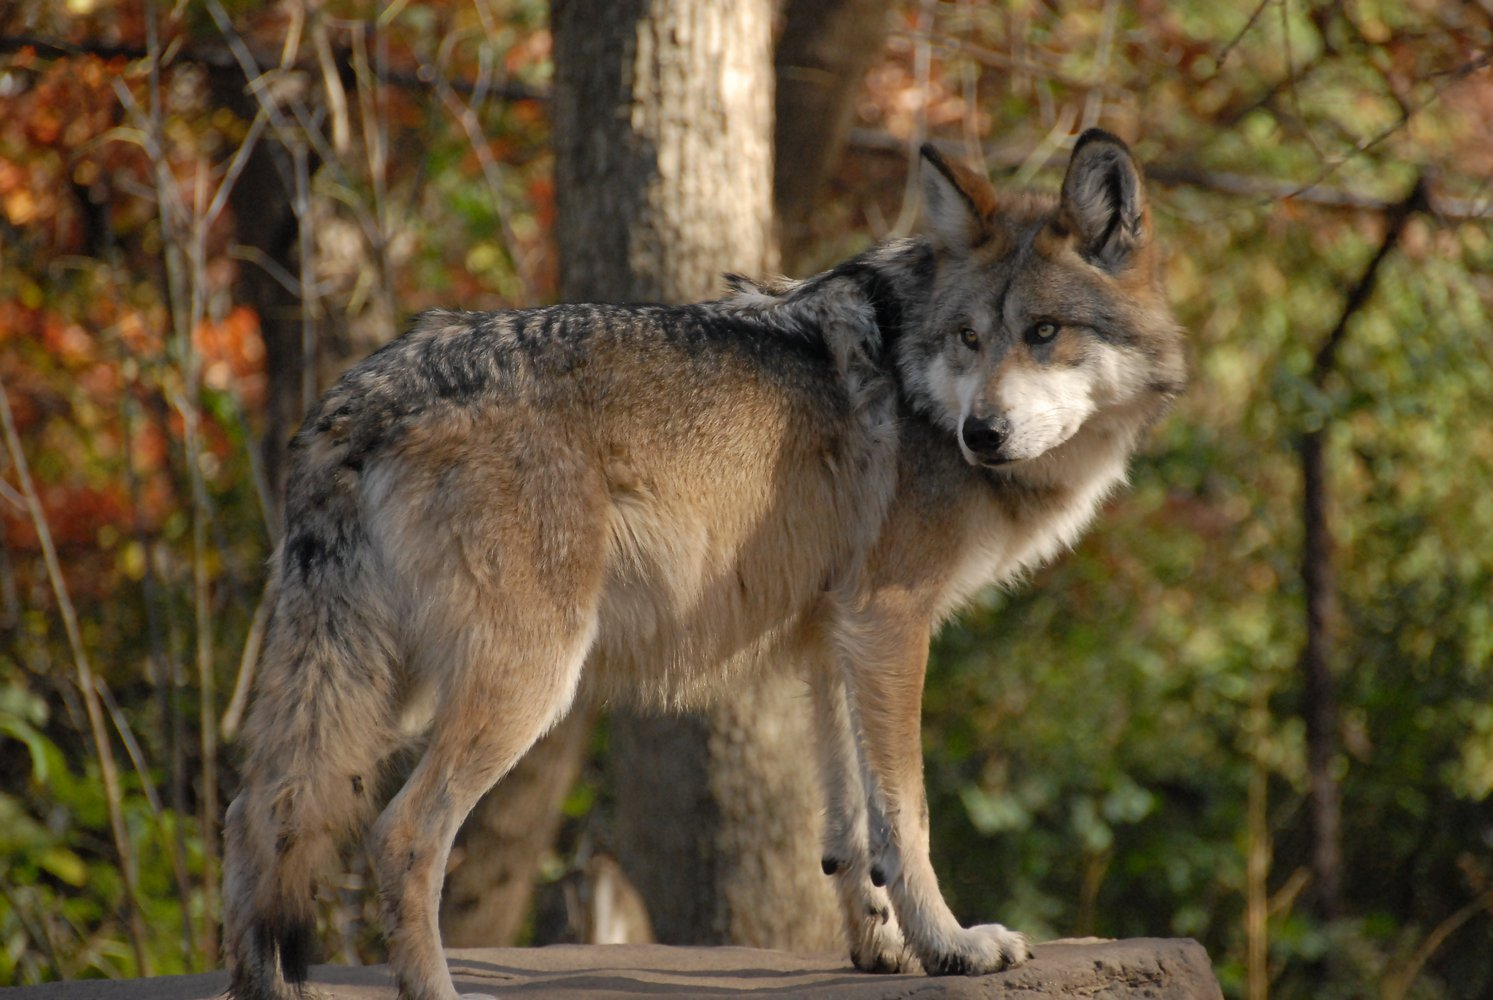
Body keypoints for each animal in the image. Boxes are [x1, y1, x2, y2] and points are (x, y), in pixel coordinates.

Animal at [220, 129, 1188, 997]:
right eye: (968, 339)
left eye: (1043, 331)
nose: (979, 434)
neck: (916, 371)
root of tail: (357, 398)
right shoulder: (890, 621)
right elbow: (903, 816)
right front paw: (951, 946)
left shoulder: (831, 638)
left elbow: (849, 828)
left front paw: (882, 950)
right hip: (521, 685)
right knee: (401, 836)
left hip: (377, 692)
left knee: (255, 818)